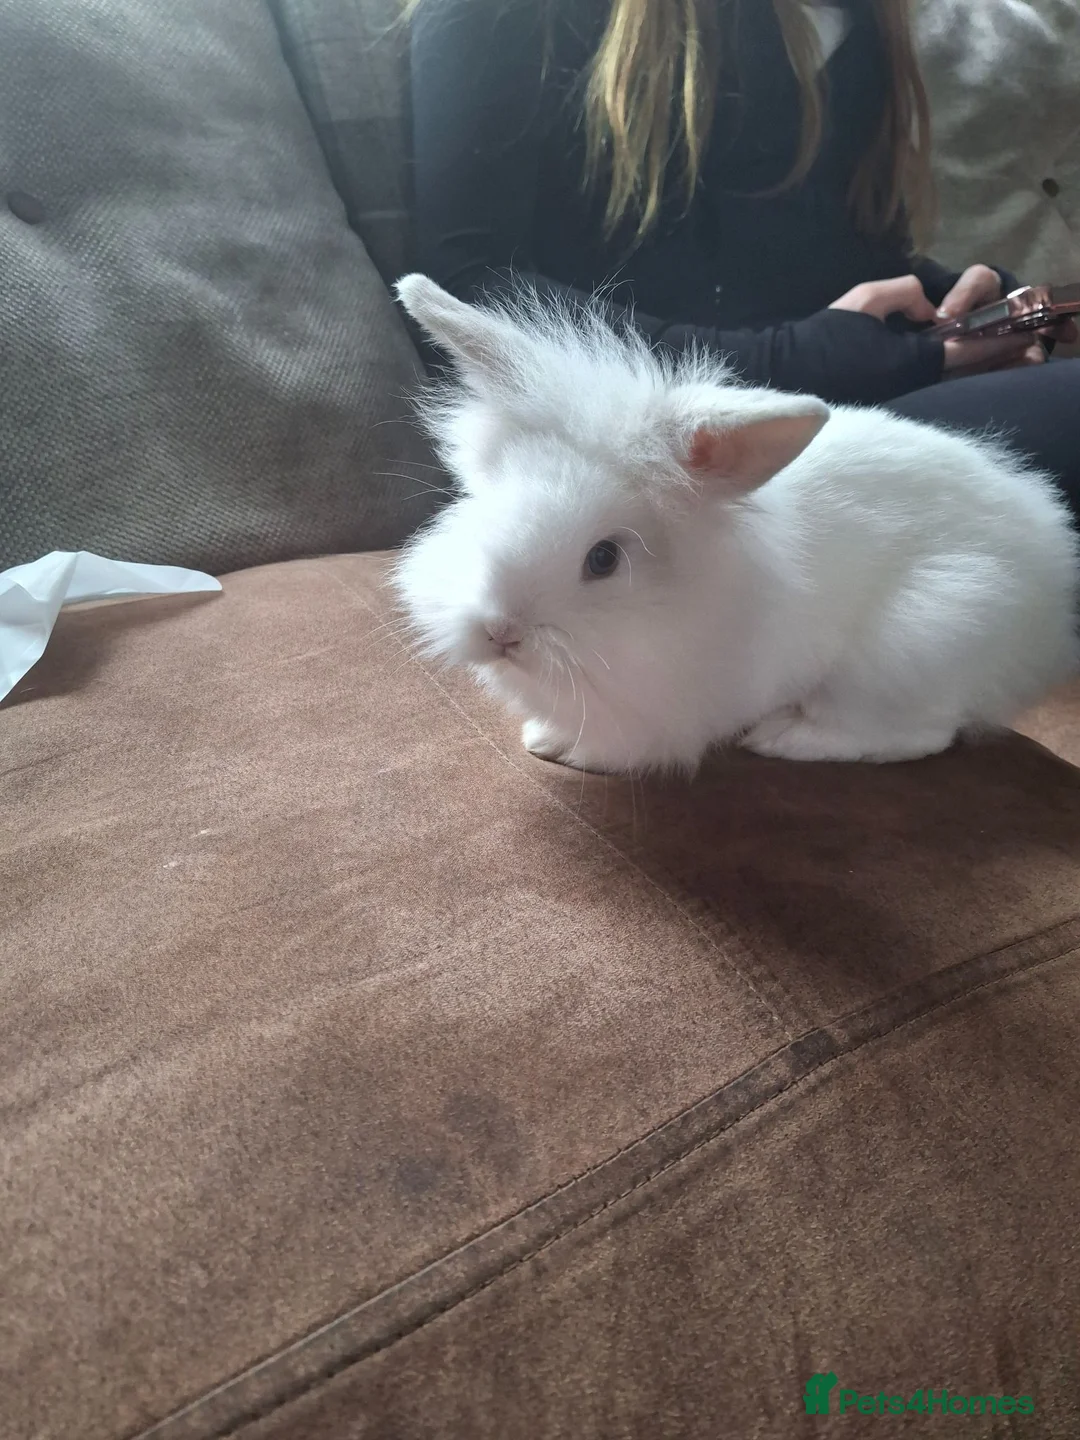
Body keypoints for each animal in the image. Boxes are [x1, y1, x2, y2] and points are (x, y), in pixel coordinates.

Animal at [389, 273, 1079, 774]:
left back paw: (783, 739)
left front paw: (576, 753)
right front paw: (544, 739)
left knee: (918, 734)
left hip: (913, 643)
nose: (500, 632)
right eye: (479, 508)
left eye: (604, 558)